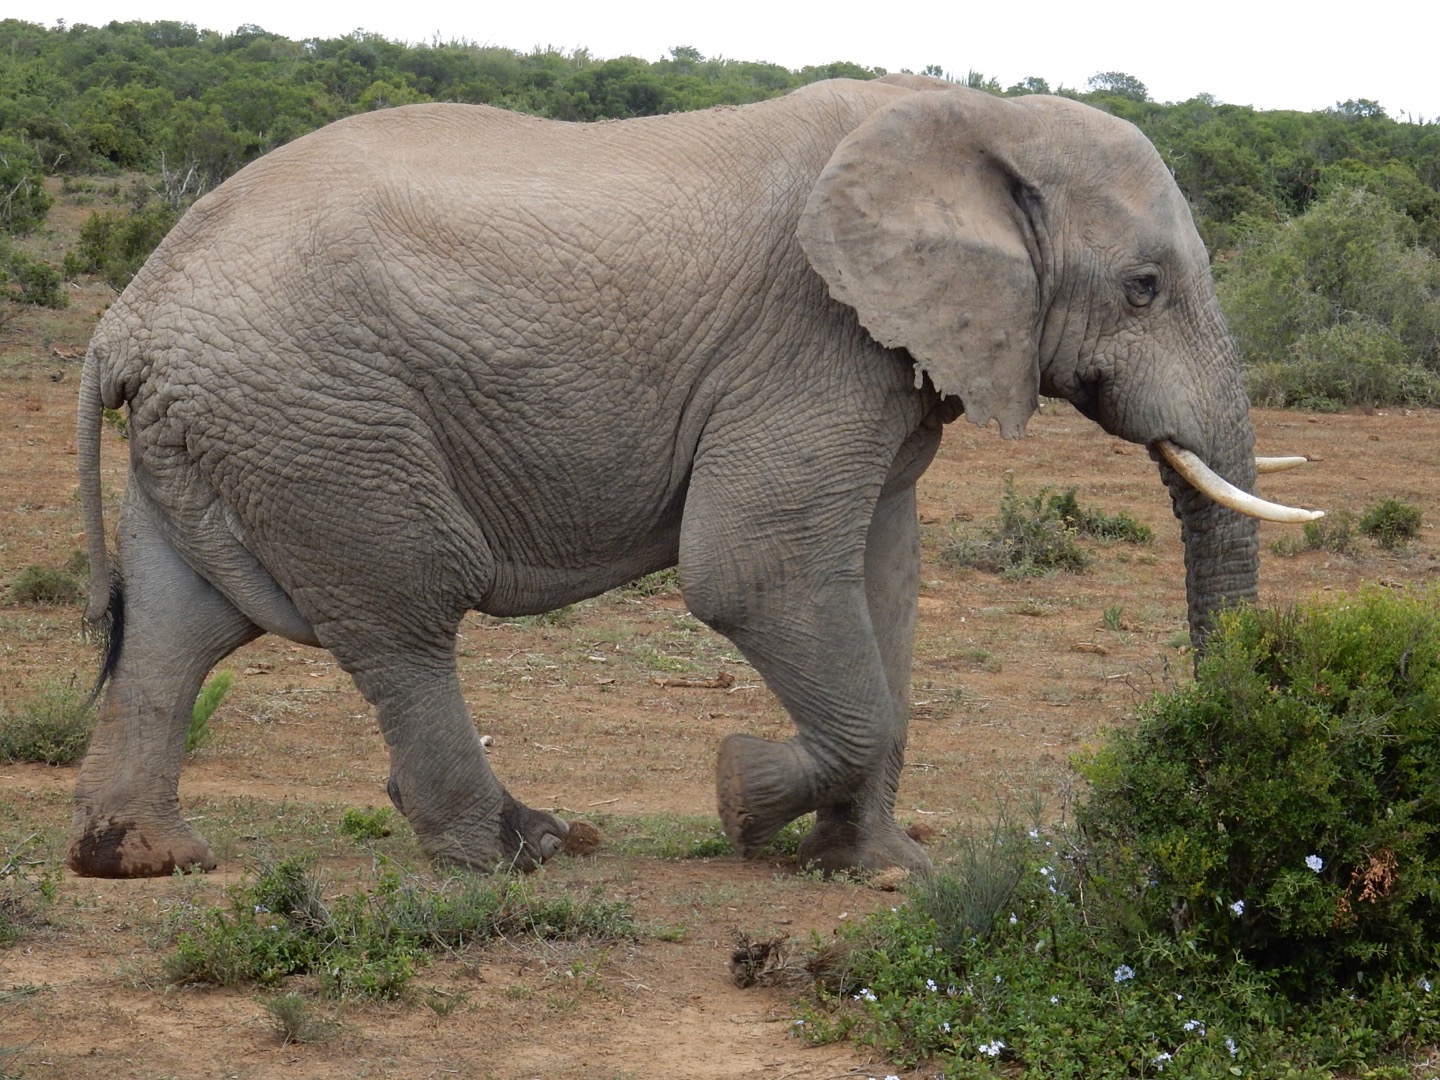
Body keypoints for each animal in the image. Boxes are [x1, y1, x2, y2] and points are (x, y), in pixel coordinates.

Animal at [70, 78, 1319, 887]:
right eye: (1145, 287)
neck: (971, 110)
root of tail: (125, 318)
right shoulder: (812, 340)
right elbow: (755, 576)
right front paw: (736, 798)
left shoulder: (879, 364)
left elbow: (885, 580)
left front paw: (878, 872)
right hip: (325, 421)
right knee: (406, 616)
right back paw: (522, 854)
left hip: (236, 424)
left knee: (176, 629)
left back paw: (140, 860)